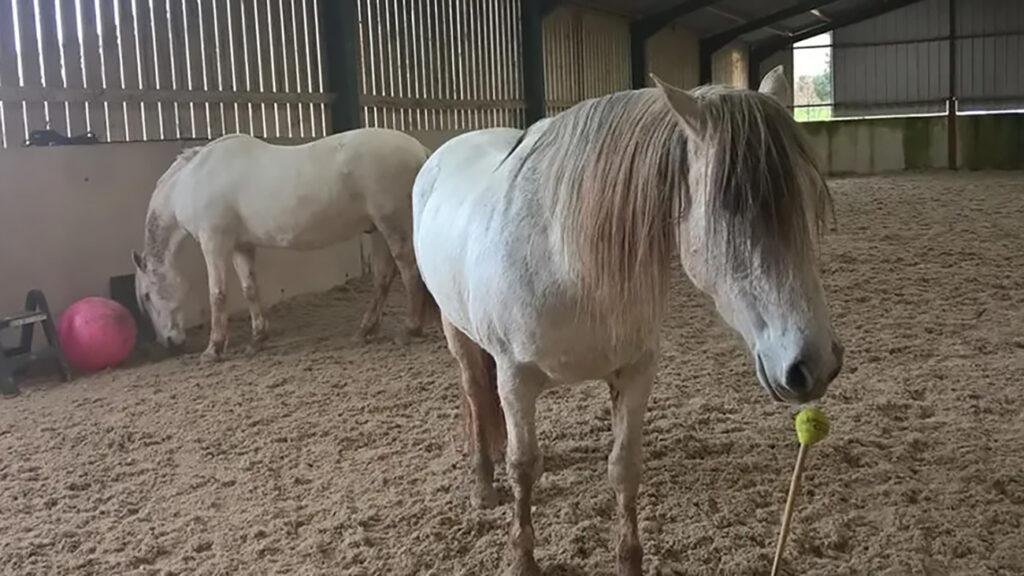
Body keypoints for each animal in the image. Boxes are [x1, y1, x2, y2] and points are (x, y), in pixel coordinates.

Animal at [132, 128, 432, 362]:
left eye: (147, 296)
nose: (170, 343)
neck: (193, 179)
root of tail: (421, 151)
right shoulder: (242, 246)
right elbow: (250, 289)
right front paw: (256, 340)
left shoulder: (214, 243)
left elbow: (217, 294)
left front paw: (213, 349)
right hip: (378, 230)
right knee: (383, 277)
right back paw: (364, 331)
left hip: (393, 226)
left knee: (409, 271)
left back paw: (409, 329)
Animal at [412, 67, 844, 576]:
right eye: (732, 206)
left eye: (808, 199)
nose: (815, 364)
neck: (564, 259)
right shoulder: (515, 378)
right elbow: (521, 465)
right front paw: (521, 557)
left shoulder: (635, 372)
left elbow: (624, 468)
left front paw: (629, 559)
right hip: (456, 331)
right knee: (477, 395)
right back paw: (482, 483)